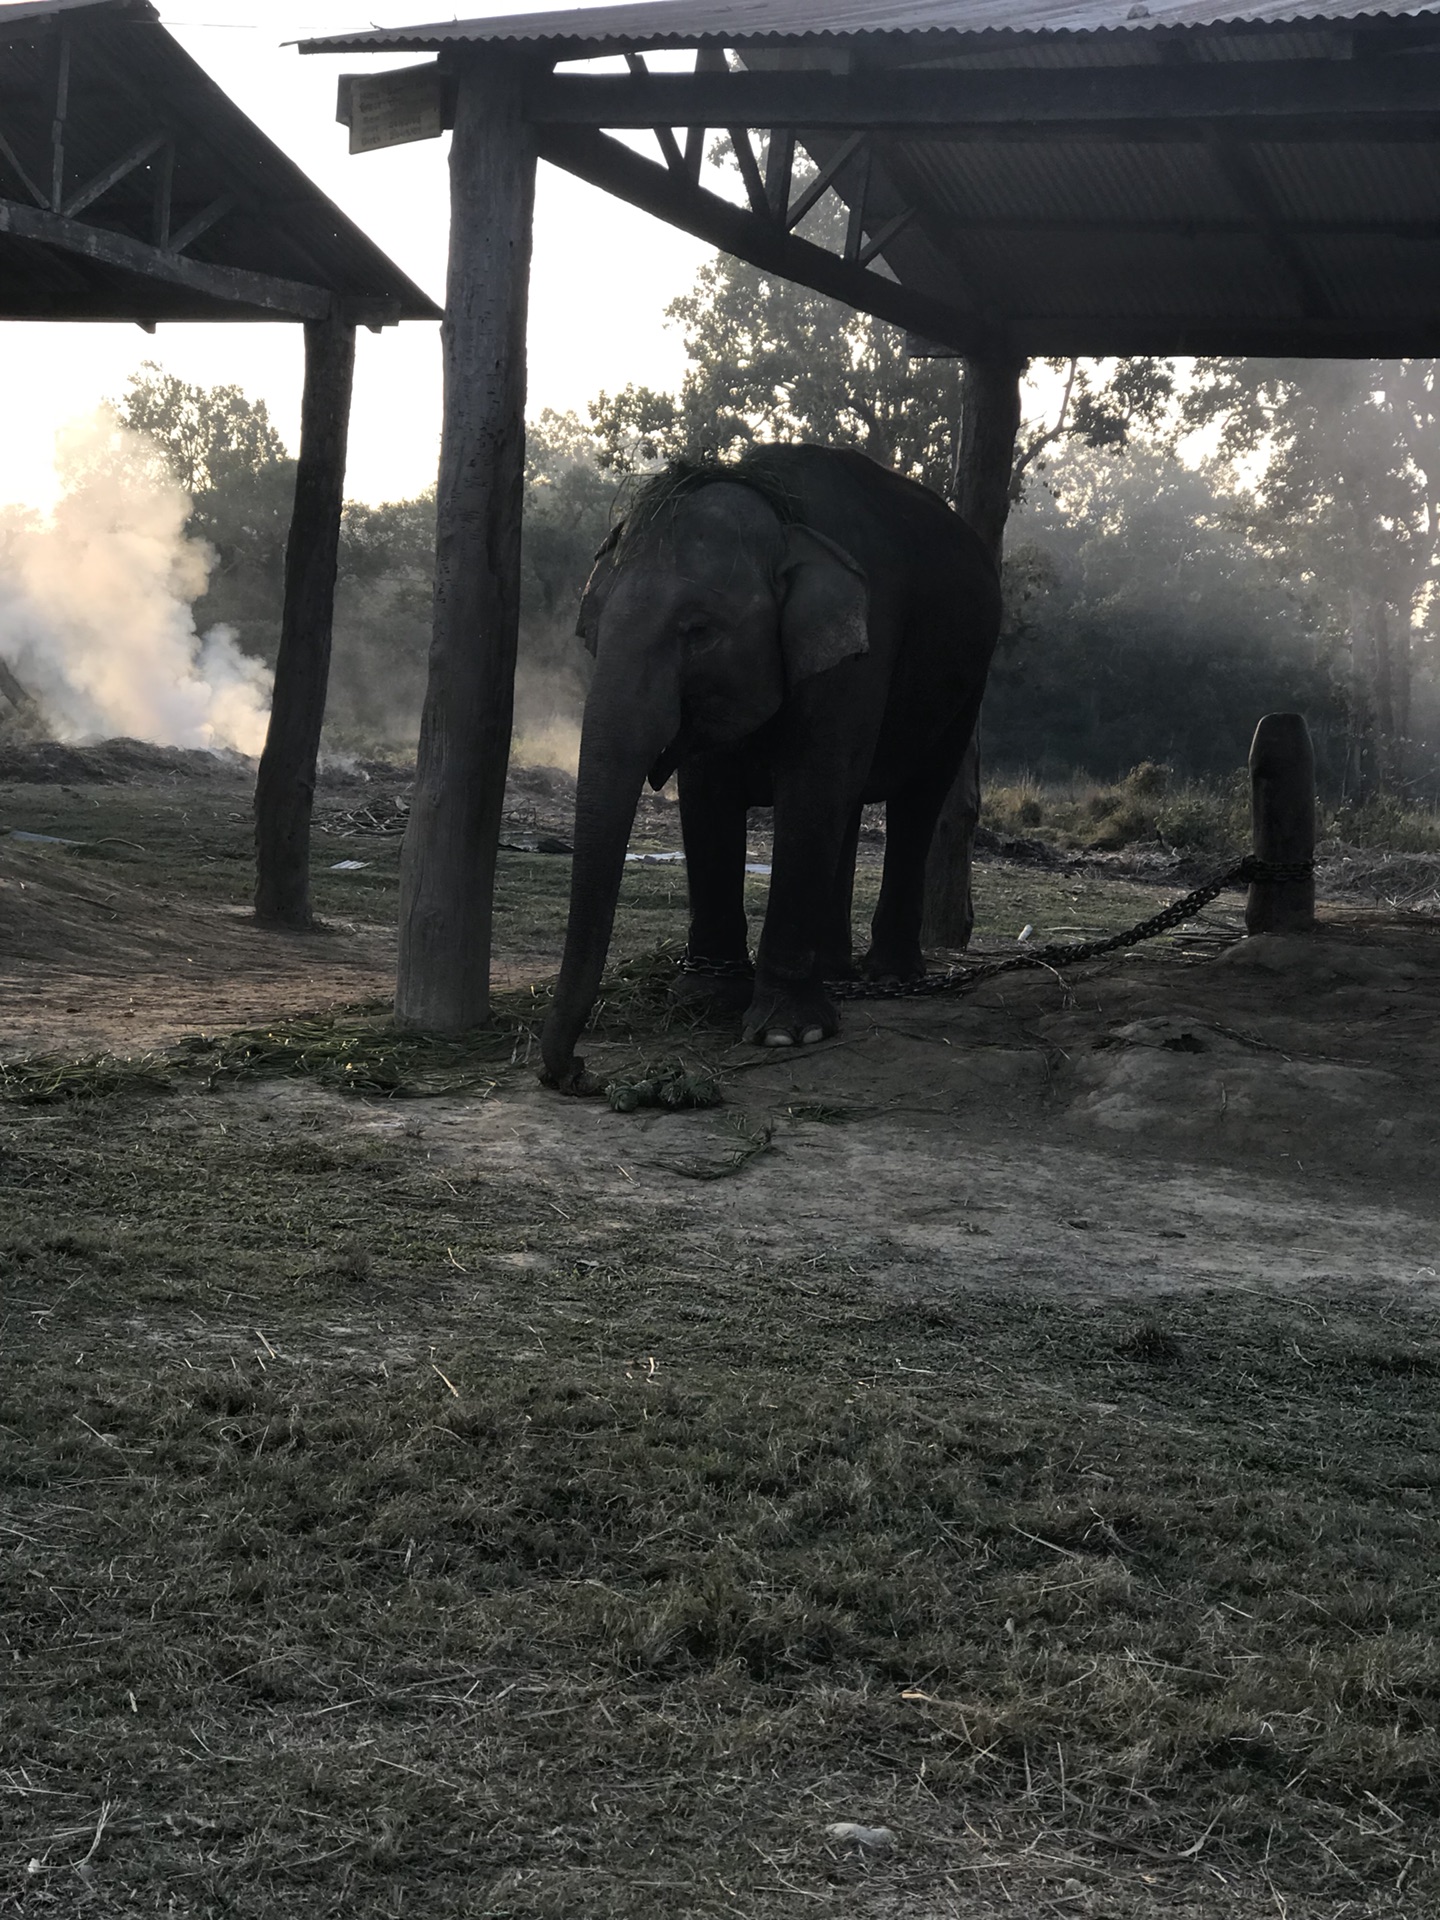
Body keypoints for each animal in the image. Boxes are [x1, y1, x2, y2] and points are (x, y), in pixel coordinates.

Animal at [541, 439, 1006, 1090]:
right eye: (594, 630)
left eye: (698, 630)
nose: (578, 1072)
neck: (777, 506)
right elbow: (709, 796)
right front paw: (705, 997)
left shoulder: (862, 649)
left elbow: (810, 787)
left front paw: (787, 1032)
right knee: (848, 807)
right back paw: (834, 971)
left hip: (969, 681)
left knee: (917, 800)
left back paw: (889, 975)